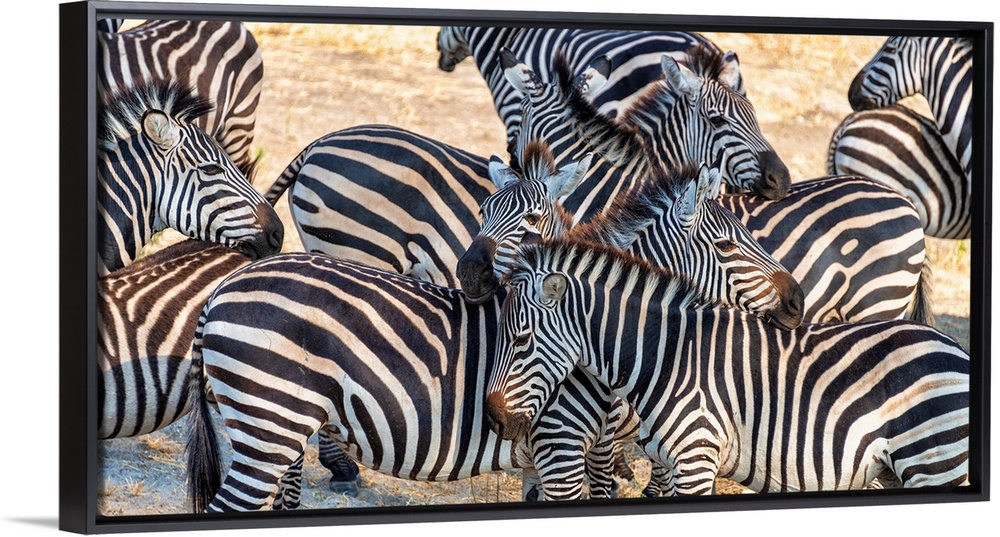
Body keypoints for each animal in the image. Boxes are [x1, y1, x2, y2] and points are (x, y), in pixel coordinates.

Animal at [485, 237, 969, 494]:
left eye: (520, 340)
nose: (493, 420)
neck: (668, 355)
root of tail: (954, 347)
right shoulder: (672, 465)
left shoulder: (697, 456)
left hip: (934, 464)